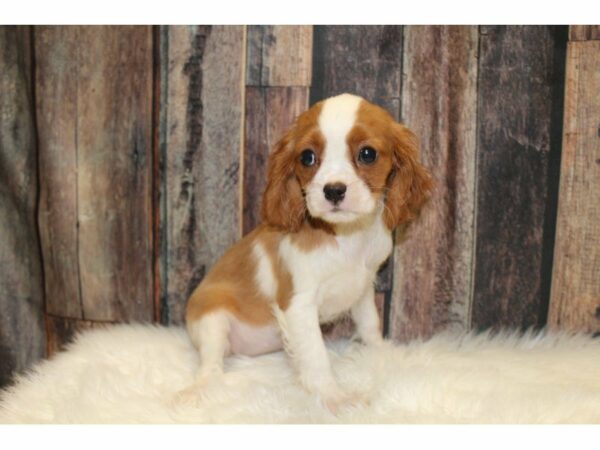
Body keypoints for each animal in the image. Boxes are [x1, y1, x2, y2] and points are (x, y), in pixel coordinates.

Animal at [185, 93, 434, 410]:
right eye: (307, 157)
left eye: (367, 154)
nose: (334, 190)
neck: (346, 235)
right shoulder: (299, 304)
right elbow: (316, 357)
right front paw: (334, 398)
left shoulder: (364, 289)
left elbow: (370, 324)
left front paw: (382, 353)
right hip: (212, 319)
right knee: (210, 365)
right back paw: (200, 390)